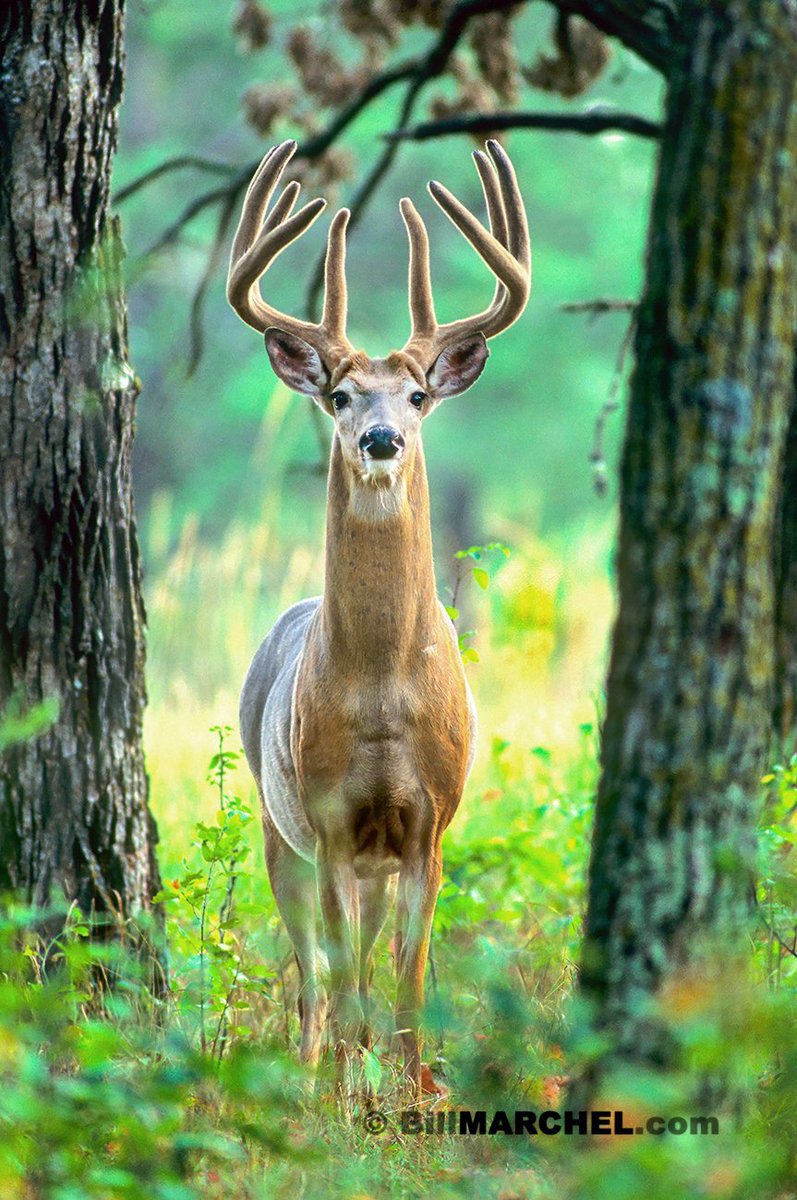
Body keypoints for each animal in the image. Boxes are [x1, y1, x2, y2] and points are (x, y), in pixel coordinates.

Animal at [230, 138, 530, 1102]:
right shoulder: (326, 819)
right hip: (276, 825)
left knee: (354, 959)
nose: (381, 440)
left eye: (418, 396)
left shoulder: (429, 823)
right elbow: (345, 977)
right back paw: (312, 1077)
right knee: (314, 977)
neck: (382, 694)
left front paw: (416, 1091)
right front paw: (349, 1099)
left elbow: (408, 976)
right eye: (339, 395)